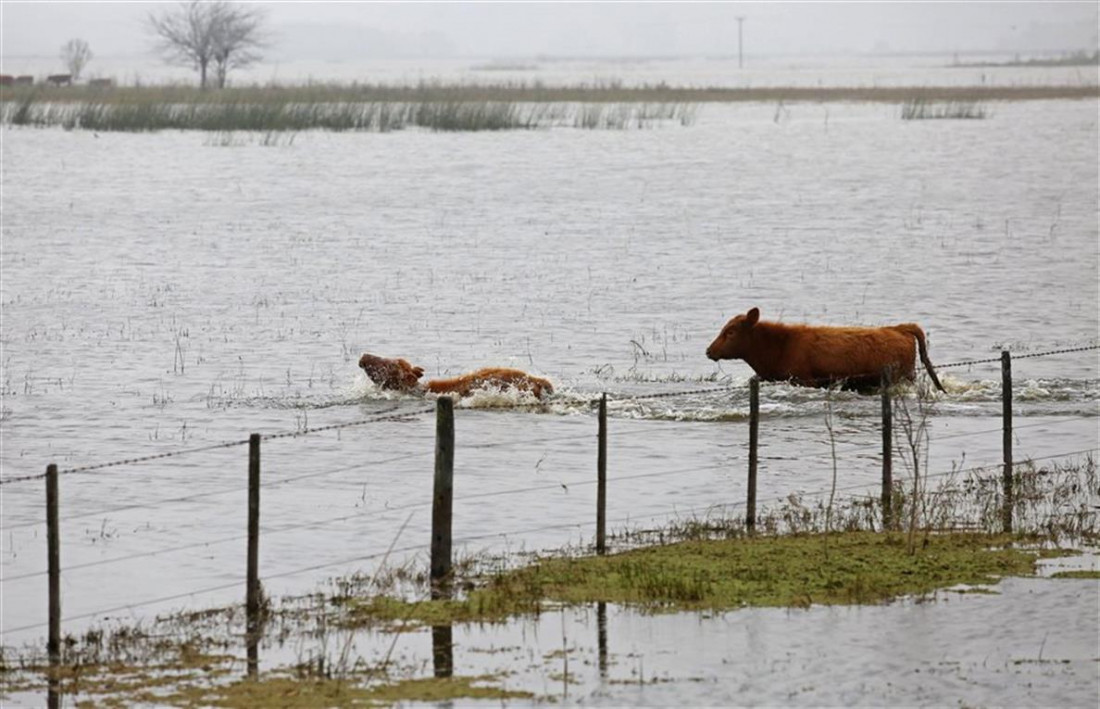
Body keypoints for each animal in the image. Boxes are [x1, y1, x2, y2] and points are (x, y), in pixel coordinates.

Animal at [708, 305, 950, 393]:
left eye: (730, 332)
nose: (709, 350)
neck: (780, 346)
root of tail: (899, 328)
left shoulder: (805, 380)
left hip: (904, 377)